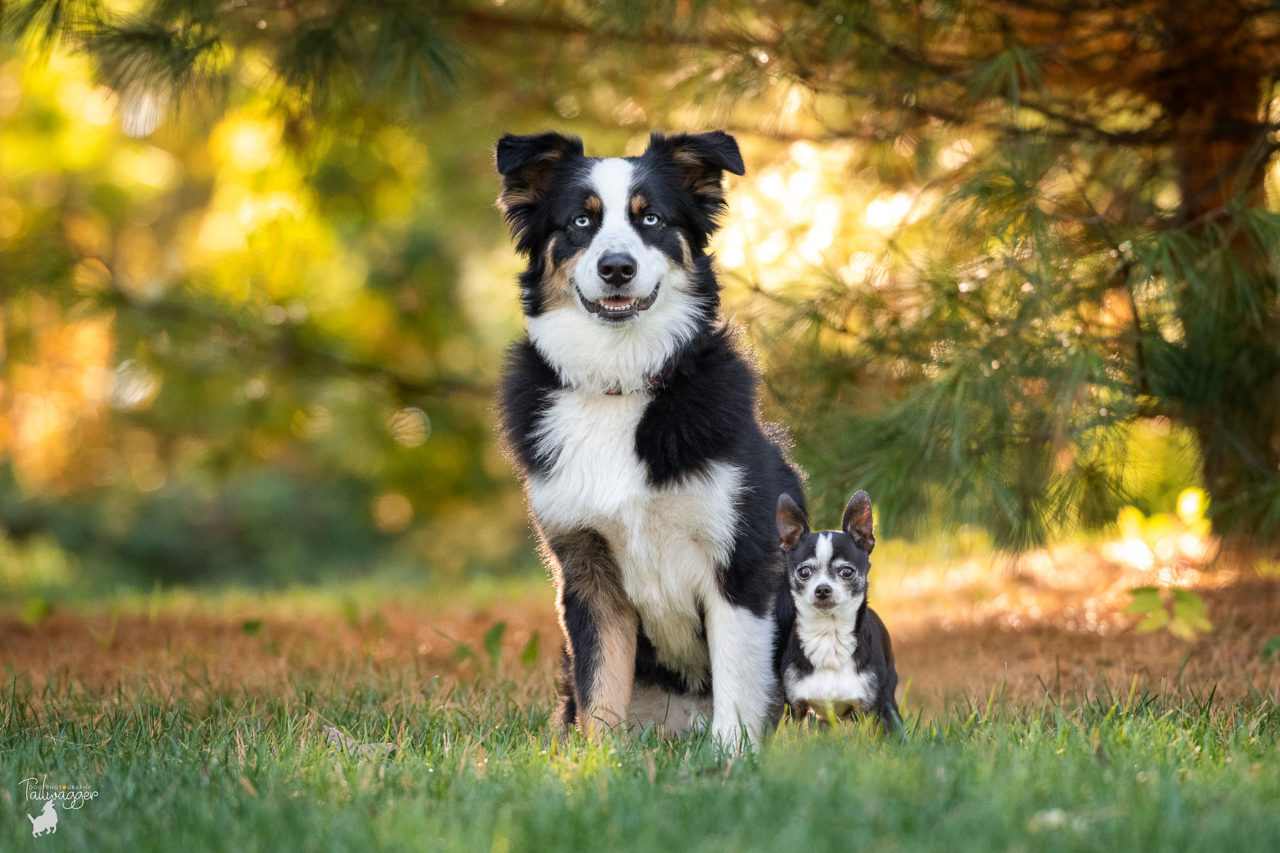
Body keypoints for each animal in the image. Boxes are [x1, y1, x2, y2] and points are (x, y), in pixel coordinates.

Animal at [496, 129, 803, 747]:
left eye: (652, 219)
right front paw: (594, 761)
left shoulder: (740, 560)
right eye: (581, 221)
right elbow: (599, 689)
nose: (617, 267)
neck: (620, 382)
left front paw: (730, 756)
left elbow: (738, 681)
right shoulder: (587, 571)